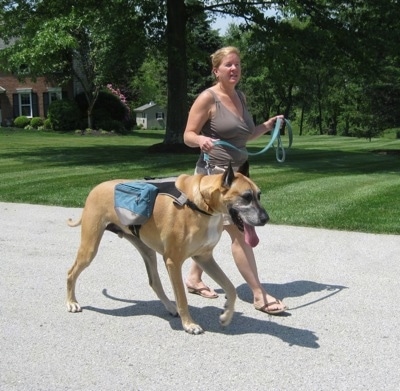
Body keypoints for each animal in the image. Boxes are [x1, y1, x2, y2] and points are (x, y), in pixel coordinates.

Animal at [66, 164, 268, 336]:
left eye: (259, 195)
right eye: (246, 197)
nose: (266, 218)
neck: (201, 204)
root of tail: (96, 187)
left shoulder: (204, 258)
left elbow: (231, 288)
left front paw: (226, 315)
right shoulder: (173, 261)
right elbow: (182, 297)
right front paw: (189, 325)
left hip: (147, 250)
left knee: (154, 281)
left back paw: (170, 307)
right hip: (90, 247)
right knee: (71, 272)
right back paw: (71, 302)